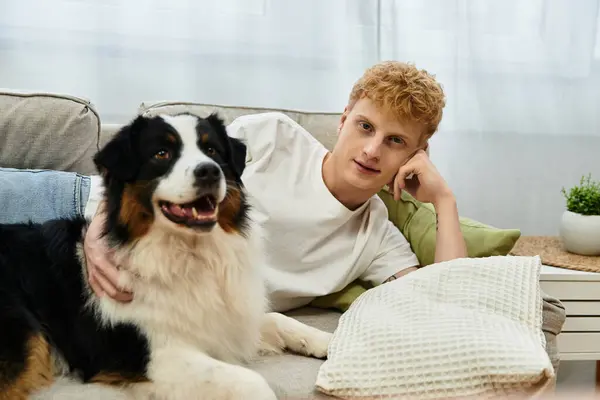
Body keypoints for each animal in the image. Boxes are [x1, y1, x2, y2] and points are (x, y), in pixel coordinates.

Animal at [0, 112, 330, 400]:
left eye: (212, 150)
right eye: (162, 154)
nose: (210, 171)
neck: (189, 253)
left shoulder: (226, 323)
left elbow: (275, 318)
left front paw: (326, 342)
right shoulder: (155, 356)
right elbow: (253, 382)